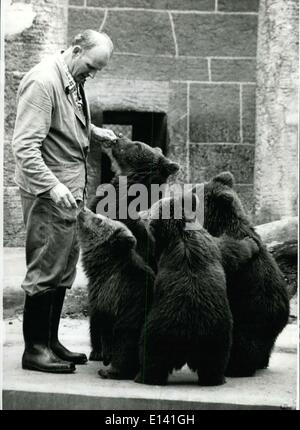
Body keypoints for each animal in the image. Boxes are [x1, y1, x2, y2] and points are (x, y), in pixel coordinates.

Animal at [134, 192, 234, 386]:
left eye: (150, 210)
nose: (141, 213)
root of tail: (189, 342)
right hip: (216, 336)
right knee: (214, 363)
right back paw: (216, 378)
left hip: (160, 331)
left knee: (151, 357)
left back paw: (142, 377)